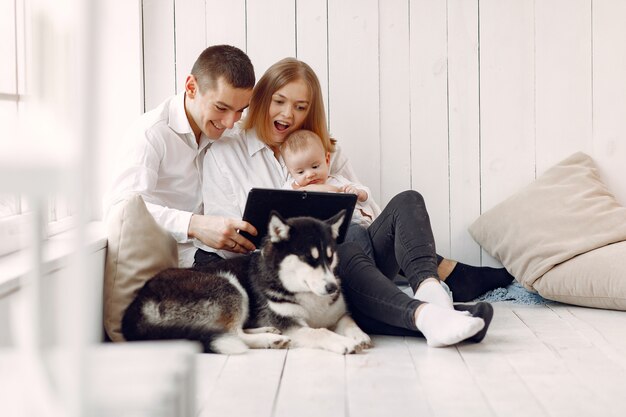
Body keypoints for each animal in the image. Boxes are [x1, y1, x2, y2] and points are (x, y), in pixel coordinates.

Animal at [120, 211, 370, 354]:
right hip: (227, 285)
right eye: (308, 258)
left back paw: (267, 331)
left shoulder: (337, 314)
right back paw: (270, 338)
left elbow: (348, 321)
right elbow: (320, 332)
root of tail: (137, 305)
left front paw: (359, 335)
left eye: (330, 256)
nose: (332, 288)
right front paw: (343, 343)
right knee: (232, 334)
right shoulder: (291, 324)